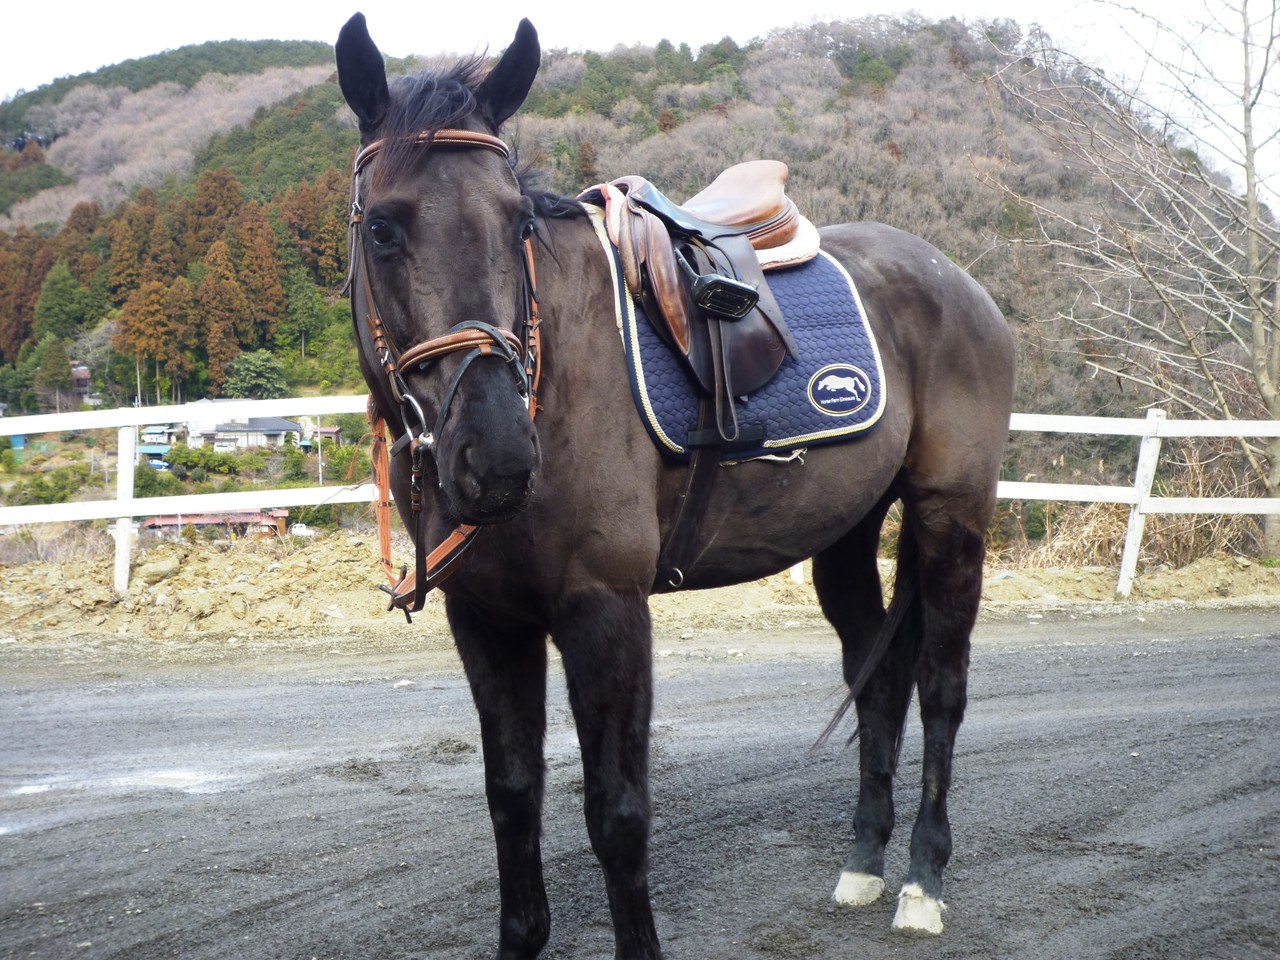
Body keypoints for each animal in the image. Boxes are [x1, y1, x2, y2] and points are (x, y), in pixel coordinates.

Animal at [335, 13, 1016, 959]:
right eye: (384, 230)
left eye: (517, 225)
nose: (499, 455)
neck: (554, 377)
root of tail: (957, 281)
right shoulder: (487, 619)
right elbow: (512, 796)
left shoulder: (606, 610)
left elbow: (617, 814)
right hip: (845, 534)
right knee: (876, 679)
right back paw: (863, 865)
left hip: (952, 519)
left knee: (942, 690)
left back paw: (921, 881)